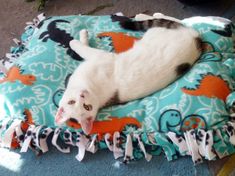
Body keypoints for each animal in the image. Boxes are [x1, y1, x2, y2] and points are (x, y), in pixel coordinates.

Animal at [55, 16, 202, 135]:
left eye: (86, 106)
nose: (82, 95)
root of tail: (198, 42)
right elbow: (82, 48)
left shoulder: (101, 57)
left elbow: (82, 47)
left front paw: (77, 40)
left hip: (156, 32)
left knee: (169, 19)